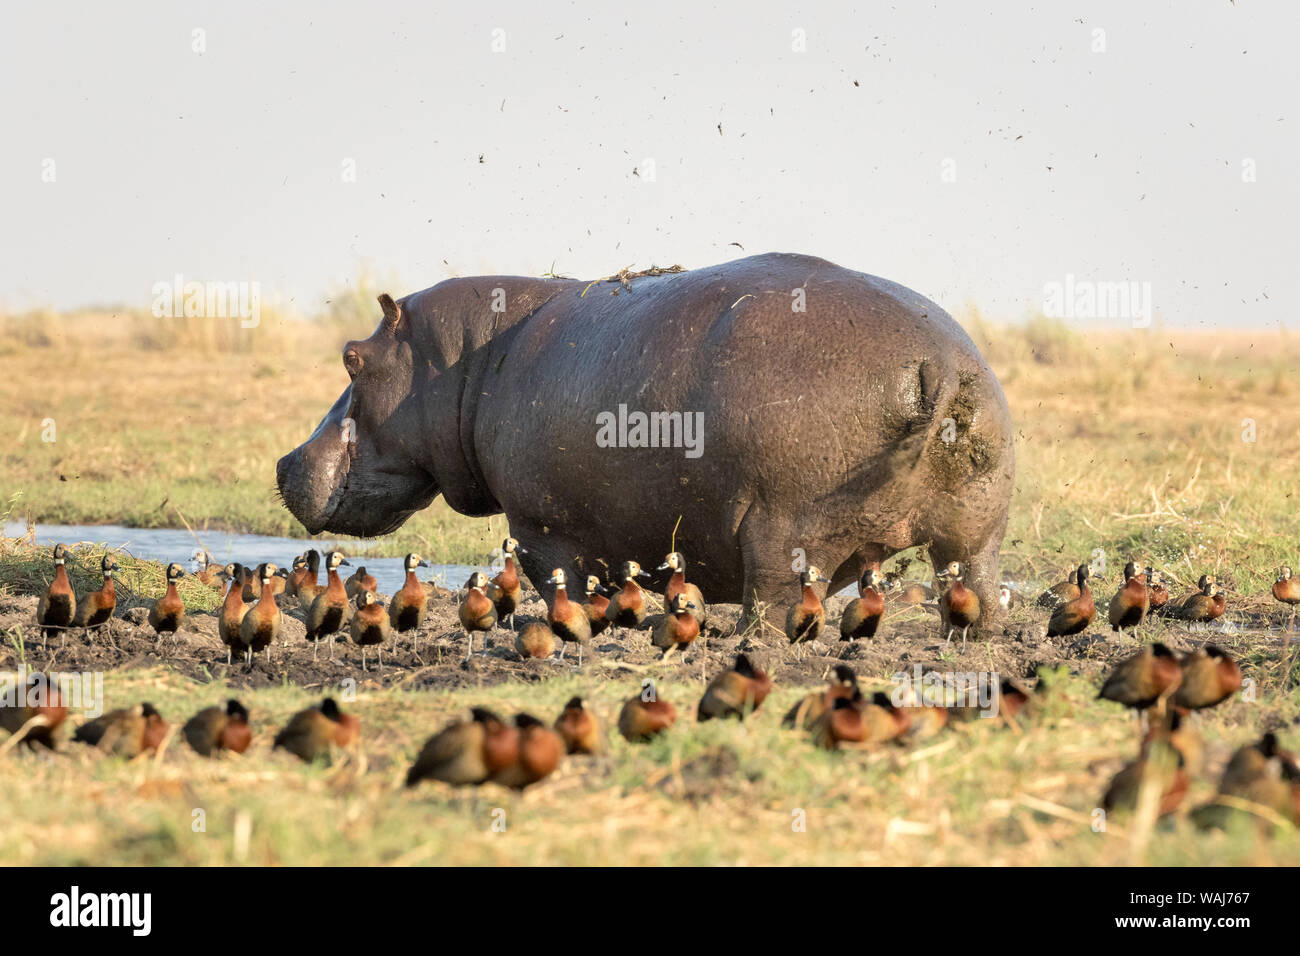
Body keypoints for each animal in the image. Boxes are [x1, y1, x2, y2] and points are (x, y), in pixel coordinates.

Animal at [277, 253, 1014, 636]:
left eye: (351, 358)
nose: (285, 462)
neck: (464, 360)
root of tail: (940, 361)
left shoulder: (542, 526)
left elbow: (564, 588)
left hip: (782, 529)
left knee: (772, 603)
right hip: (975, 527)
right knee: (971, 586)